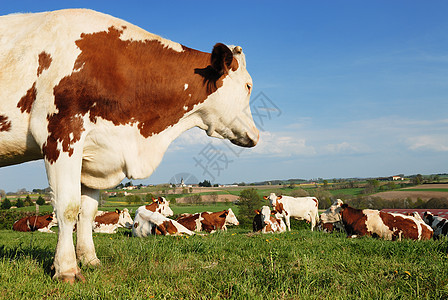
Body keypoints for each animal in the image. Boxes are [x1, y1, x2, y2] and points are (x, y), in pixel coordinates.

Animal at [0, 8, 260, 282]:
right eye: (248, 86)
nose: (256, 135)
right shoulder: (61, 135)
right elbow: (68, 207)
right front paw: (66, 268)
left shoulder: (95, 155)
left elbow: (87, 211)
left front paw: (89, 260)